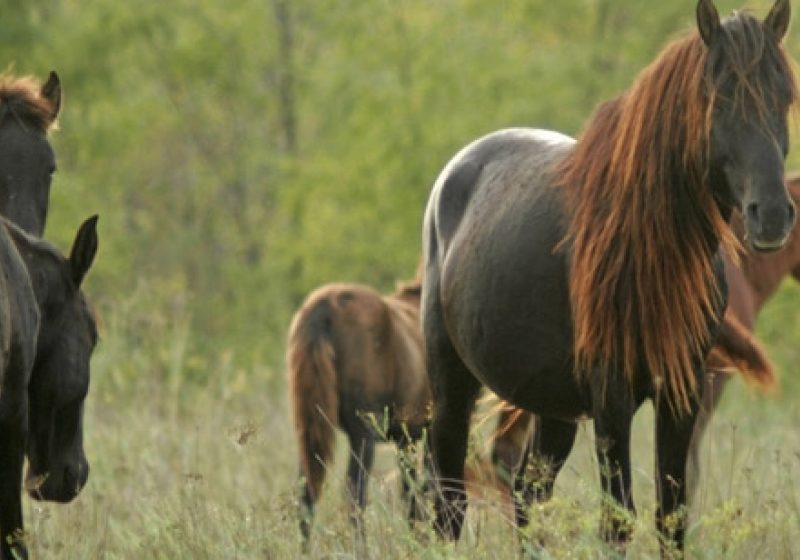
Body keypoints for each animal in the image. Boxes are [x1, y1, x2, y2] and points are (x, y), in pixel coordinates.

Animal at [287, 274, 429, 541]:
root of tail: (323, 308)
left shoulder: (406, 438)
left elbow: (411, 495)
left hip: (309, 426)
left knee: (307, 494)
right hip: (363, 432)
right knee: (355, 496)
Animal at [421, 1, 796, 554]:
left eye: (785, 95)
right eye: (718, 96)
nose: (770, 215)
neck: (654, 253)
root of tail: (459, 168)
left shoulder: (681, 394)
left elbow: (671, 517)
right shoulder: (611, 397)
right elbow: (617, 522)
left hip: (551, 404)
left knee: (529, 493)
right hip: (452, 385)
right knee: (448, 502)